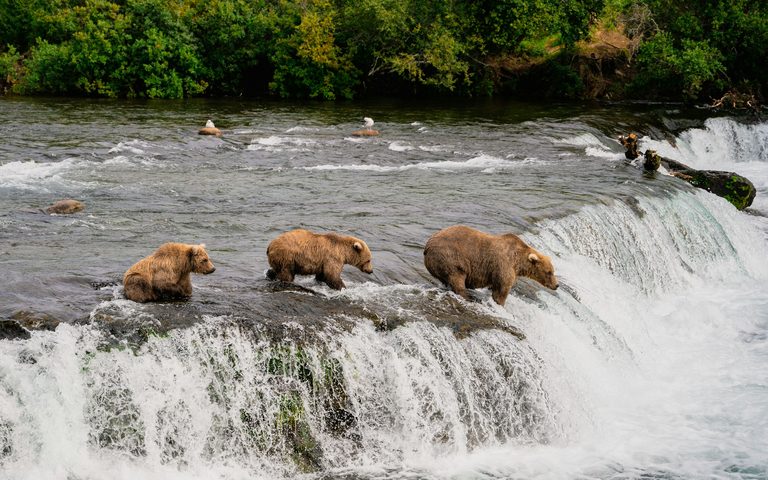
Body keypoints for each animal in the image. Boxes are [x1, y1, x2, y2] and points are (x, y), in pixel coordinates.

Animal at [423, 225, 558, 306]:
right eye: (549, 272)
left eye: (553, 271)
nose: (556, 285)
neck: (518, 262)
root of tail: (427, 246)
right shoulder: (504, 264)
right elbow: (502, 289)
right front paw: (500, 303)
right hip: (450, 257)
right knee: (456, 277)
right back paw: (468, 296)